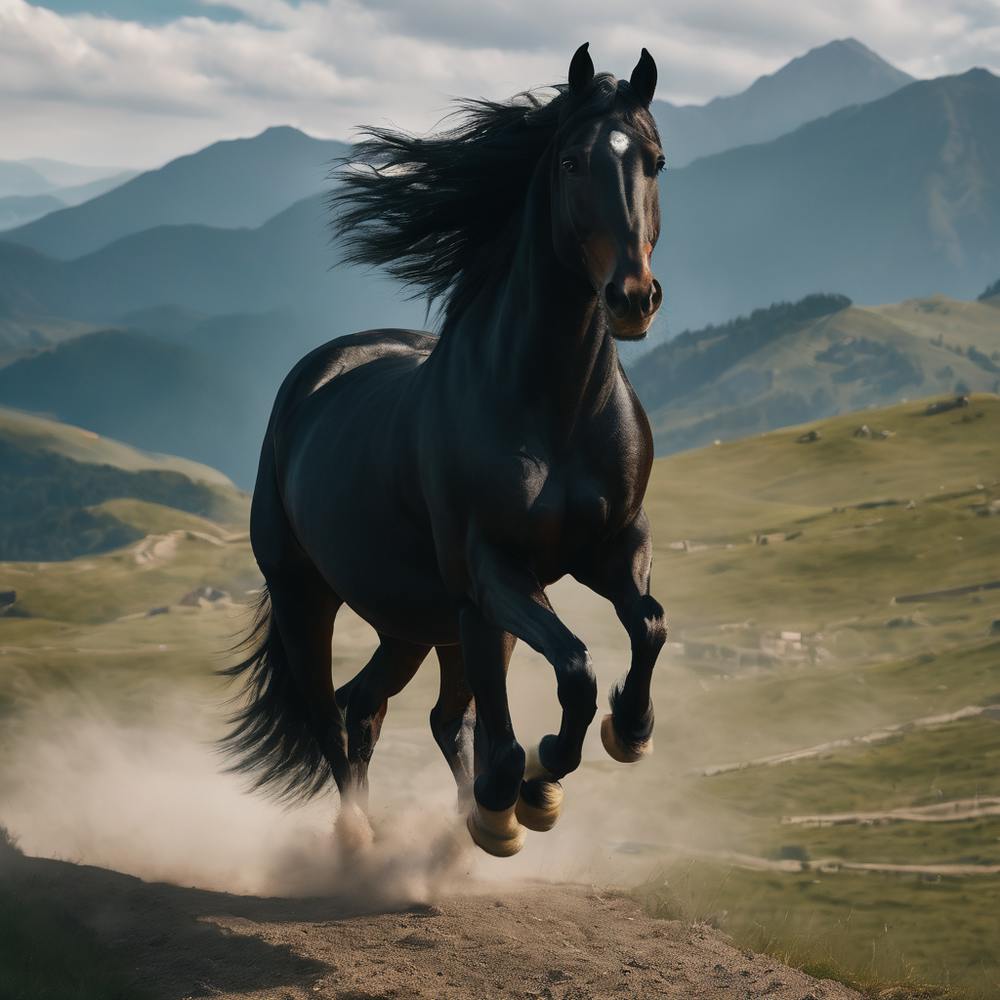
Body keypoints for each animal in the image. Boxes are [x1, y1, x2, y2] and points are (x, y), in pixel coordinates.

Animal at [222, 43, 668, 857]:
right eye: (570, 162)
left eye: (655, 161)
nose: (631, 298)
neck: (553, 410)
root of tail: (315, 374)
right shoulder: (493, 570)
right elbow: (575, 668)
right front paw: (539, 780)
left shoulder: (612, 544)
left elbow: (645, 626)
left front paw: (623, 735)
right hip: (316, 599)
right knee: (334, 712)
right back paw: (372, 832)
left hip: (418, 619)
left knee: (389, 708)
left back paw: (481, 813)